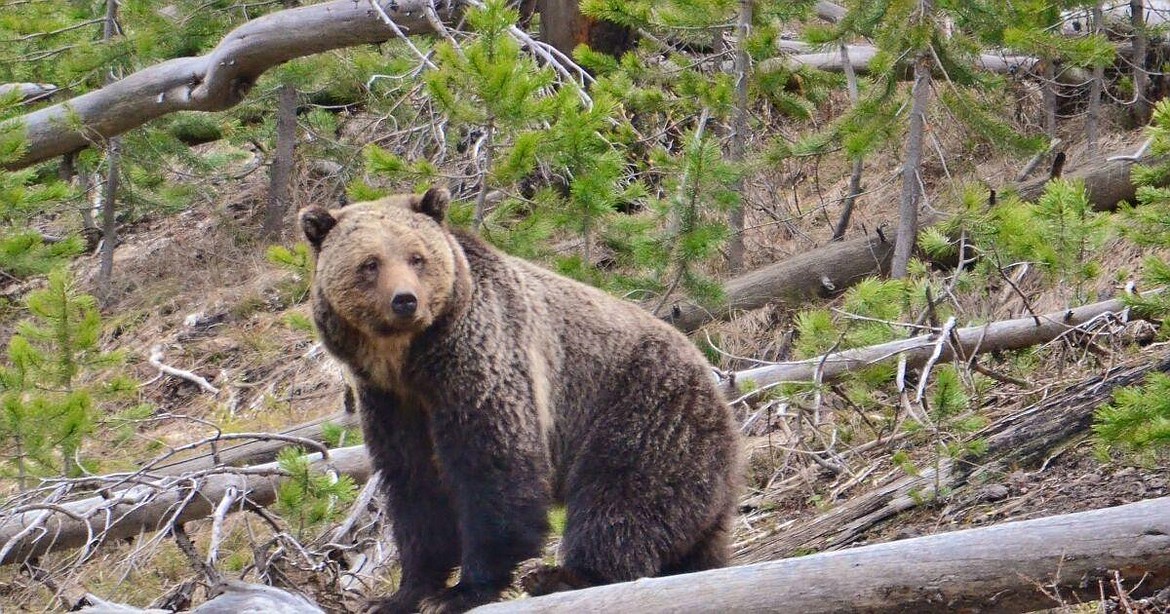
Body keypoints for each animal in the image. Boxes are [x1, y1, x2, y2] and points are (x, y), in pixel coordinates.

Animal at [301, 187, 739, 612]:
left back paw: (564, 576)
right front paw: (401, 593)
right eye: (370, 263)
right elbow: (414, 486)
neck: (410, 362)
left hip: (643, 411)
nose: (405, 300)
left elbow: (493, 467)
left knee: (621, 500)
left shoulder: (481, 362)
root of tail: (718, 389)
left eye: (417, 257)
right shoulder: (390, 403)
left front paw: (463, 590)